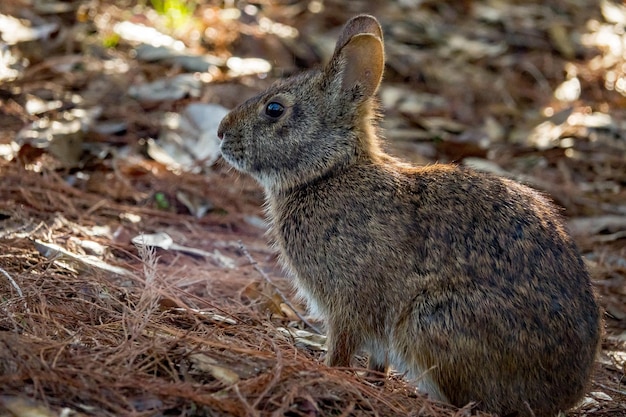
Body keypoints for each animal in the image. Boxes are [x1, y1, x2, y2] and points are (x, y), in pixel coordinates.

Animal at [216, 13, 600, 416]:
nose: (222, 132)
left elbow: (341, 347)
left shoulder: (346, 302)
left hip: (431, 323)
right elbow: (376, 362)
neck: (329, 172)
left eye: (275, 109)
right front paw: (372, 382)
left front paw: (328, 372)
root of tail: (564, 393)